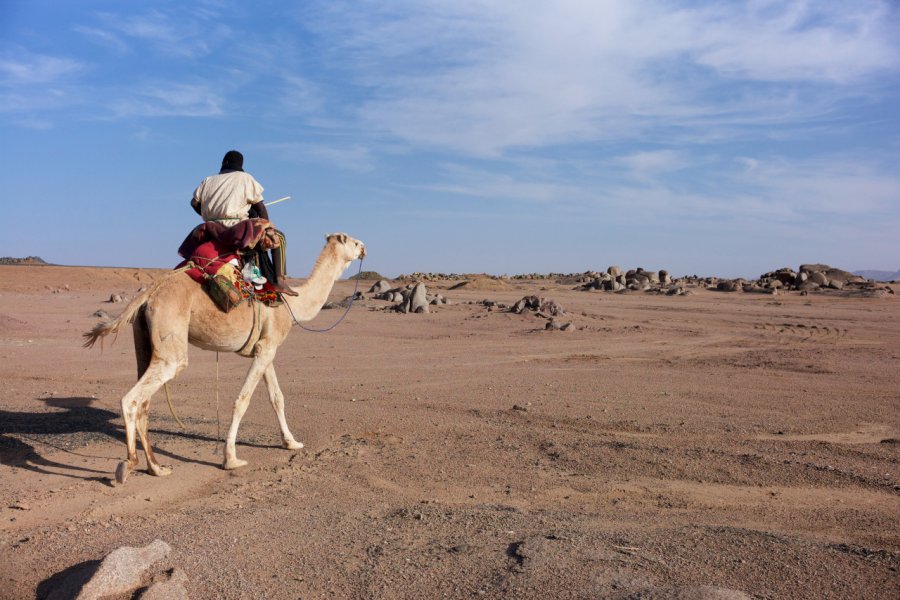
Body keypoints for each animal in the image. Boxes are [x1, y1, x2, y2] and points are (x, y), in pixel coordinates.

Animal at [83, 232, 366, 486]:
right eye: (353, 241)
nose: (364, 248)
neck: (293, 305)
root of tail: (149, 294)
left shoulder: (267, 348)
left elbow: (277, 397)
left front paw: (291, 442)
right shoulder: (266, 348)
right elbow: (243, 400)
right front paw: (231, 459)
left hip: (143, 341)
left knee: (144, 402)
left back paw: (157, 468)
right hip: (170, 344)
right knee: (133, 398)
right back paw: (128, 465)